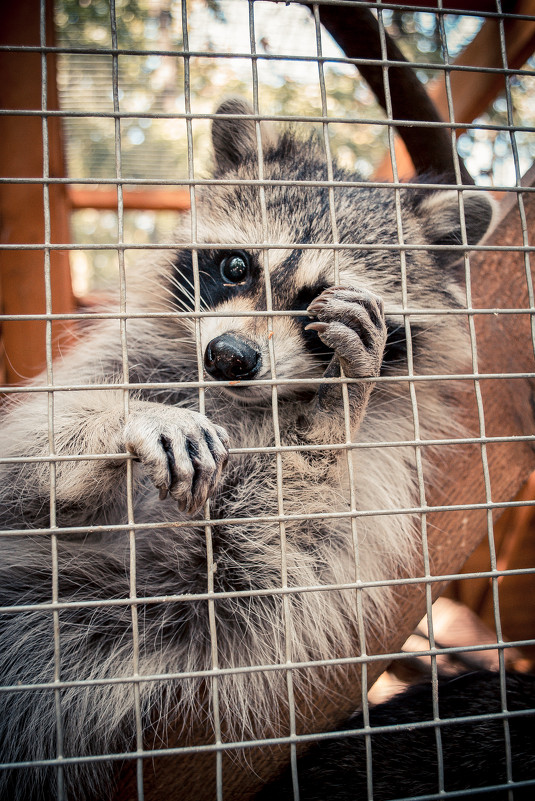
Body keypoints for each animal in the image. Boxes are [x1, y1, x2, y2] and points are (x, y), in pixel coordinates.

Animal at [0, 101, 494, 800]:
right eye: (236, 267)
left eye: (317, 306)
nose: (229, 356)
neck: (245, 403)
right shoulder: (124, 361)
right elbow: (25, 466)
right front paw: (120, 423)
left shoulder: (361, 477)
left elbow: (257, 566)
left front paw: (335, 402)